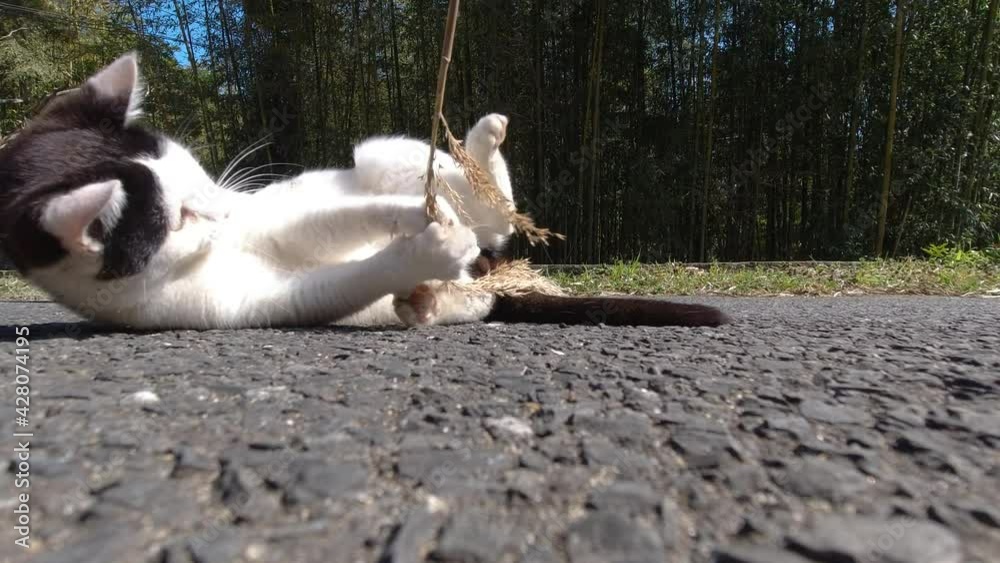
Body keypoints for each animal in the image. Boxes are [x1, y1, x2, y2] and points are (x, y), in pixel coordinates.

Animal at [0, 53, 730, 329]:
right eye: (179, 218)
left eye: (196, 169)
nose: (228, 208)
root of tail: (497, 273)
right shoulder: (255, 302)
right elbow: (341, 276)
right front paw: (421, 252)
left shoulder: (279, 217)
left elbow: (332, 218)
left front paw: (417, 217)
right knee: (453, 284)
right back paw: (428, 294)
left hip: (384, 152)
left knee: (486, 213)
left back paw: (477, 157)